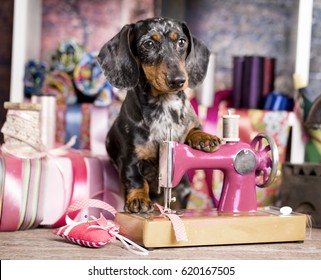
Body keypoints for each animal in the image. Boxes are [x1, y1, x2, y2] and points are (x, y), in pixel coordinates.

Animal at [97, 17, 220, 213]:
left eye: (182, 42)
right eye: (148, 44)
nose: (178, 80)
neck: (164, 106)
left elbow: (193, 130)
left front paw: (204, 137)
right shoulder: (129, 158)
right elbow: (136, 179)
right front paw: (138, 199)